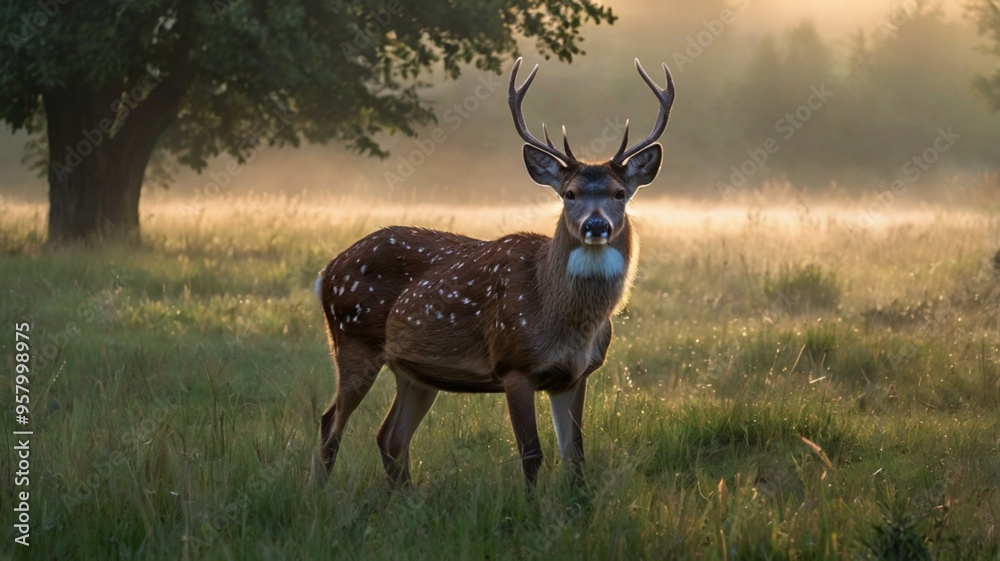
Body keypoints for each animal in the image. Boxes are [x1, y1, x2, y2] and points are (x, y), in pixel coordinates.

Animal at [314, 57, 675, 492]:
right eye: (569, 194)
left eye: (620, 194)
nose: (596, 225)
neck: (564, 321)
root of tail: (326, 272)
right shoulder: (513, 363)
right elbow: (532, 454)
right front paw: (530, 506)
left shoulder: (575, 375)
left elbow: (576, 457)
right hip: (353, 340)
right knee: (330, 423)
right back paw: (319, 493)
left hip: (415, 371)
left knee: (389, 437)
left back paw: (405, 498)